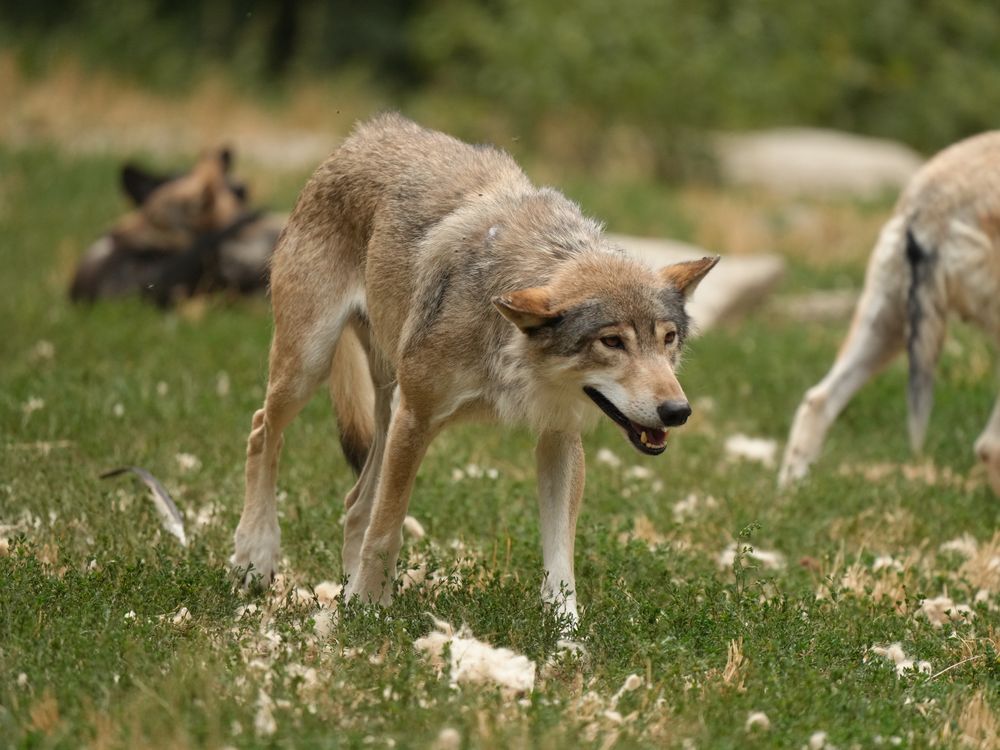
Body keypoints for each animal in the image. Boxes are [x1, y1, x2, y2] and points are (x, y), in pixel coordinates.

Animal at [232, 114, 720, 624]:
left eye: (668, 339)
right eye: (612, 341)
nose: (677, 412)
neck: (510, 354)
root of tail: (370, 131)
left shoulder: (558, 433)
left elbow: (560, 559)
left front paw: (567, 634)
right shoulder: (417, 417)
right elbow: (386, 530)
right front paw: (367, 611)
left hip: (384, 409)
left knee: (353, 505)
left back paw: (342, 587)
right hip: (311, 368)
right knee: (262, 431)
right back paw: (256, 556)